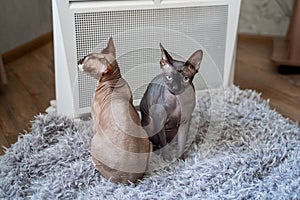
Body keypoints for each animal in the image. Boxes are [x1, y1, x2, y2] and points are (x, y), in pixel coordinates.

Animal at [78, 37, 151, 184]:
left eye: (85, 60)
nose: (78, 61)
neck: (113, 81)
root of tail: (128, 180)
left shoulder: (95, 119)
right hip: (146, 138)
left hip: (95, 142)